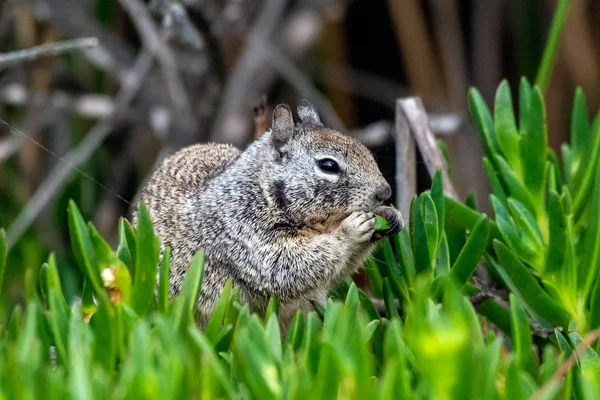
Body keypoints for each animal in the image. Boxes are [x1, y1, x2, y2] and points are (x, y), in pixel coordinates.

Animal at [132, 98, 404, 326]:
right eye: (328, 165)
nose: (385, 192)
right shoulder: (244, 235)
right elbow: (286, 267)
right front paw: (350, 230)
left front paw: (391, 215)